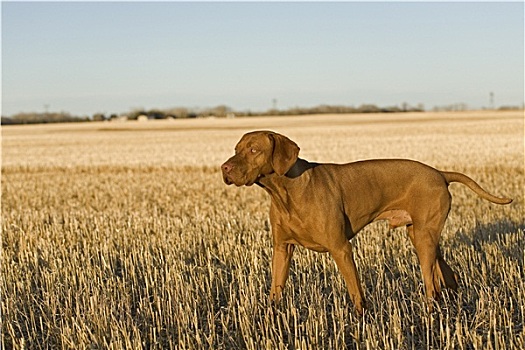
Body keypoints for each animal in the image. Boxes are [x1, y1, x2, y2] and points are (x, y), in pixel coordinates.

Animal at [220, 131, 512, 314]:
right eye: (236, 149)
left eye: (254, 150)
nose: (225, 168)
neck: (287, 192)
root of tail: (440, 173)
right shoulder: (282, 249)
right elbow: (275, 289)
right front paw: (271, 315)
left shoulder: (341, 248)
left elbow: (355, 291)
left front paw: (362, 319)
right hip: (421, 234)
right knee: (444, 273)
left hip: (424, 238)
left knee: (431, 281)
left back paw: (431, 311)